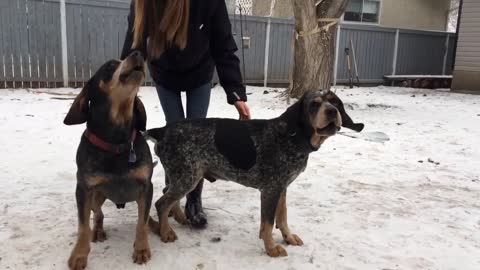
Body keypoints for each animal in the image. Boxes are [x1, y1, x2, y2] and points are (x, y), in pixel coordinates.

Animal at [64, 51, 154, 268]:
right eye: (110, 65)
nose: (138, 52)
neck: (116, 143)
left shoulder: (146, 187)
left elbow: (141, 222)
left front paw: (141, 249)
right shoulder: (84, 189)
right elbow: (83, 226)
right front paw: (79, 255)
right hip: (96, 196)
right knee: (98, 214)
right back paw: (98, 230)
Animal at [146, 90, 364, 258]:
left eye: (335, 102)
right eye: (315, 104)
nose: (332, 111)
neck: (293, 137)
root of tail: (162, 130)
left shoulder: (281, 188)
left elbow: (282, 217)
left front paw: (288, 237)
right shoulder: (270, 189)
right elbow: (267, 224)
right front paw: (272, 248)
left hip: (187, 176)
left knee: (168, 196)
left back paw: (179, 218)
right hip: (187, 176)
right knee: (161, 203)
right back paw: (165, 233)